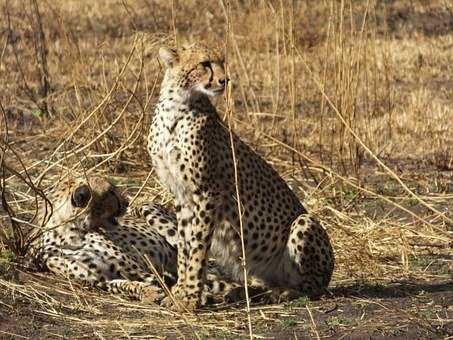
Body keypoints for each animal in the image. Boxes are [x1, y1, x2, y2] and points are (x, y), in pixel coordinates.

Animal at [30, 177, 177, 302]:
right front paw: (148, 292)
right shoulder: (102, 280)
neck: (69, 236)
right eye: (110, 192)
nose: (127, 203)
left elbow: (159, 280)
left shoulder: (140, 269)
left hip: (148, 209)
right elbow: (121, 285)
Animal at [147, 42, 334, 310]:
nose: (224, 80)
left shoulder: (208, 192)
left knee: (312, 288)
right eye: (204, 63)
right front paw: (180, 291)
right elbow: (185, 246)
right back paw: (247, 292)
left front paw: (191, 297)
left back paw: (283, 293)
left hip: (304, 222)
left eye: (222, 62)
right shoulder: (182, 195)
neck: (177, 106)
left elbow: (198, 248)